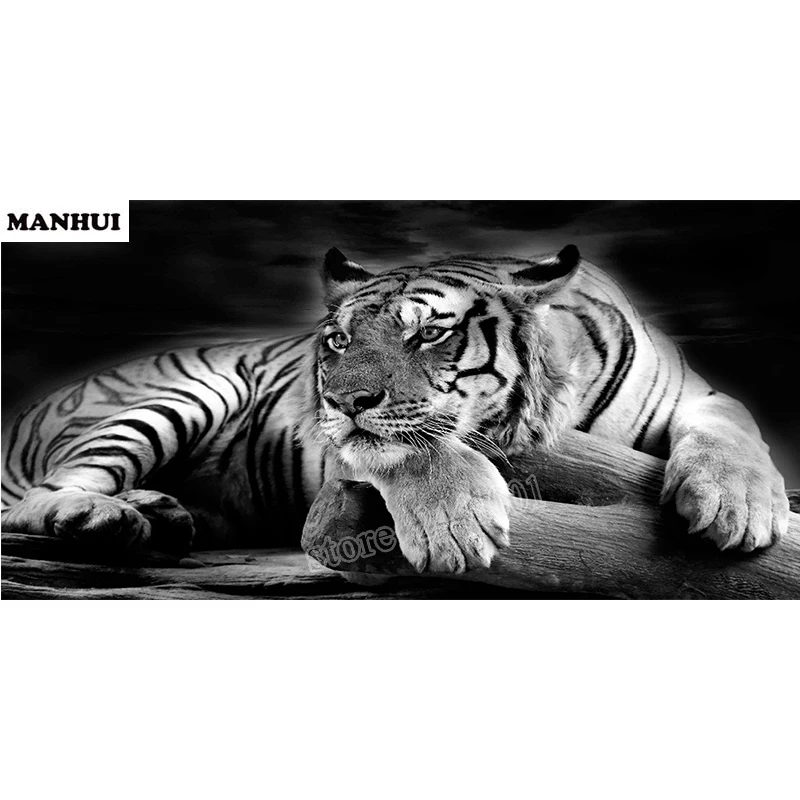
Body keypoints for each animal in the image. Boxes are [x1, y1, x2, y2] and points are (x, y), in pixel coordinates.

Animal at [1, 245, 789, 573]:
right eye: (340, 339)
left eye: (429, 333)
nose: (342, 399)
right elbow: (412, 449)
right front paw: (455, 528)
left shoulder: (699, 396)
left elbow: (735, 426)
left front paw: (738, 506)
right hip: (187, 390)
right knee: (38, 498)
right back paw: (103, 517)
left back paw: (165, 514)